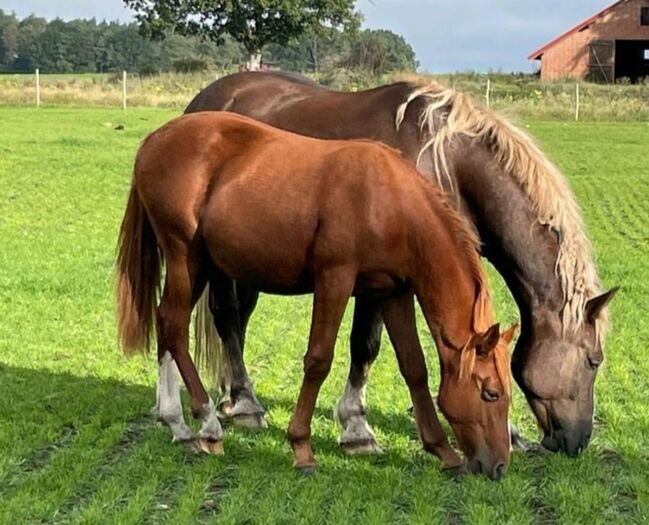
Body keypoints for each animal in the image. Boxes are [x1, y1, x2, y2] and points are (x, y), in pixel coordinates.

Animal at [115, 111, 516, 478]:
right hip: (186, 258)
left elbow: (414, 366)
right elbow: (319, 359)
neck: (387, 201)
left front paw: (443, 451)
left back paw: (178, 424)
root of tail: (154, 141)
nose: (498, 466)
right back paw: (208, 424)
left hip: (200, 265)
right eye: (491, 393)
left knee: (166, 323)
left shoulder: (393, 292)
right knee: (175, 327)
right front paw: (301, 447)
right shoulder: (334, 281)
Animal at [184, 69, 616, 454]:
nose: (577, 441)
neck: (446, 164)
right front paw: (357, 429)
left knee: (239, 320)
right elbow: (365, 345)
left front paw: (508, 432)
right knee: (227, 317)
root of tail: (204, 101)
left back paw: (230, 397)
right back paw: (245, 404)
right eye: (593, 360)